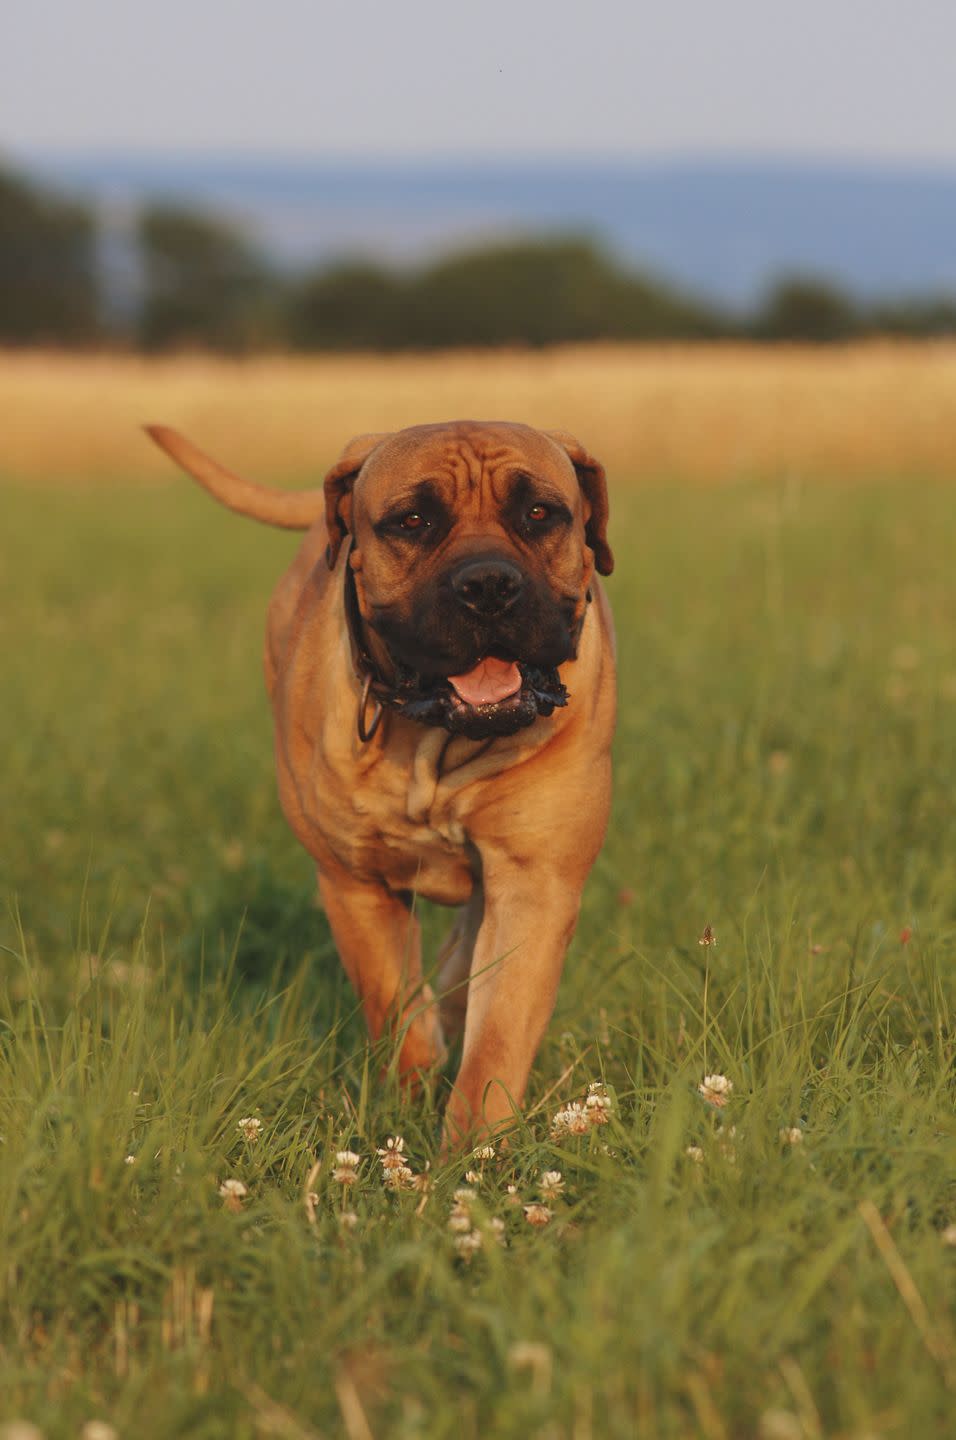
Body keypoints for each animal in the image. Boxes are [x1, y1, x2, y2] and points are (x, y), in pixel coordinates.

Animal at [146, 420, 616, 1146]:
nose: (487, 583)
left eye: (540, 513)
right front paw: (413, 1101)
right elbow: (395, 1007)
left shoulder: (537, 881)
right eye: (412, 521)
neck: (438, 743)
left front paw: (472, 1151)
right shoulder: (355, 884)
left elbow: (497, 1038)